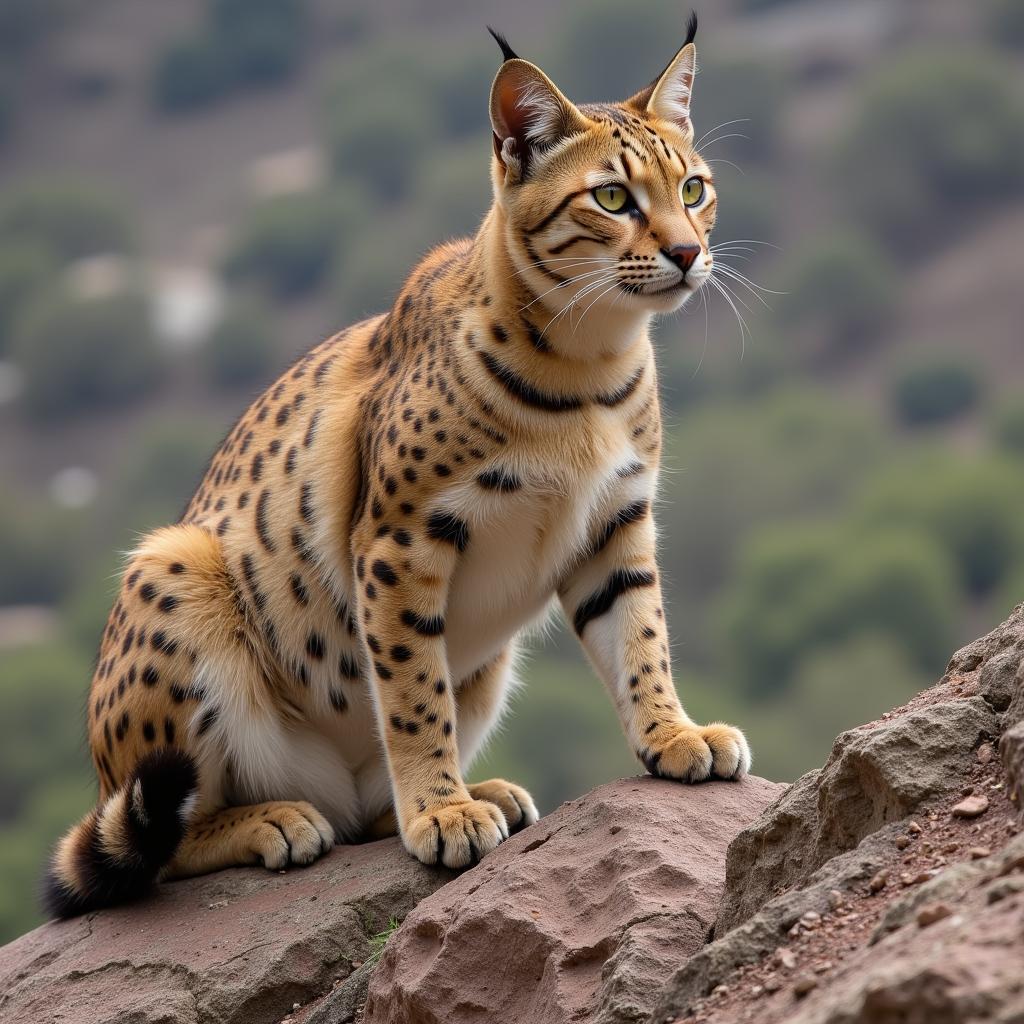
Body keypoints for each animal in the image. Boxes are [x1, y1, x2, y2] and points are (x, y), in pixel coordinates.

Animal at [44, 12, 749, 917]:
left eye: (693, 190)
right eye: (613, 198)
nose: (690, 254)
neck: (591, 360)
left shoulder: (617, 521)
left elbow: (642, 639)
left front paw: (673, 734)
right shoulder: (400, 537)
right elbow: (413, 693)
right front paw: (439, 813)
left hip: (485, 665)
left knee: (349, 811)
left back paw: (463, 796)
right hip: (175, 563)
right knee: (153, 845)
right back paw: (283, 818)